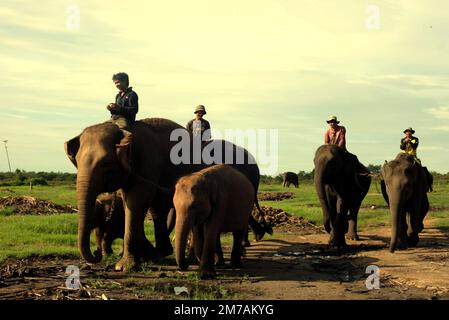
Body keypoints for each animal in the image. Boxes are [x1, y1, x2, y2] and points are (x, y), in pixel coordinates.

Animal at [63, 117, 270, 270]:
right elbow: (141, 203)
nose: (96, 254)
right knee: (161, 210)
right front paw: (149, 256)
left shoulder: (146, 161)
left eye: (106, 164)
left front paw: (125, 266)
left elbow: (136, 200)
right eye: (76, 161)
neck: (126, 131)